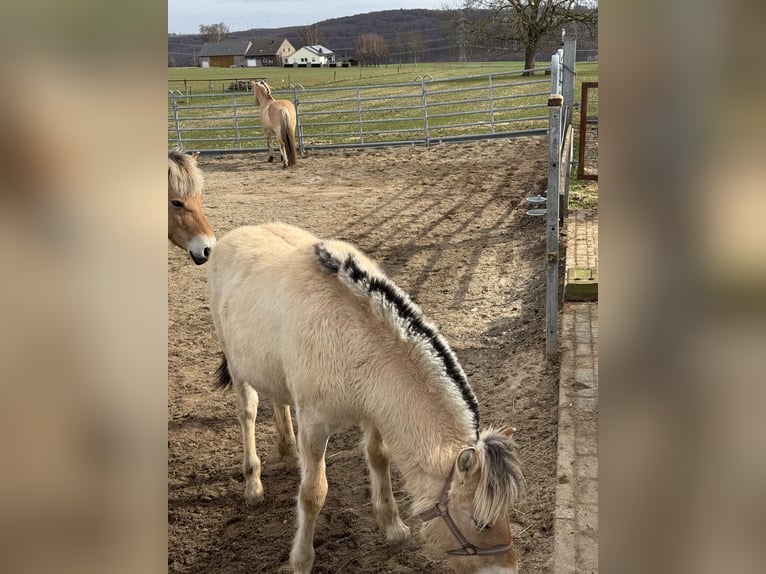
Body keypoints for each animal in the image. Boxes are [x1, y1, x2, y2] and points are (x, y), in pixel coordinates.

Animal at [208, 223, 524, 573]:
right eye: (481, 522)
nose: (508, 570)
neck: (353, 335)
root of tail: (233, 236)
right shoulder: (314, 426)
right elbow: (313, 493)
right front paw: (301, 559)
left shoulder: (374, 413)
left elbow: (379, 459)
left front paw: (393, 528)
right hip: (236, 366)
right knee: (248, 412)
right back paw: (253, 485)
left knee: (279, 400)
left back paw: (288, 455)